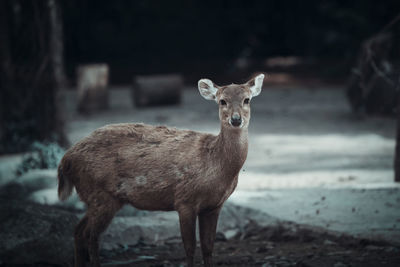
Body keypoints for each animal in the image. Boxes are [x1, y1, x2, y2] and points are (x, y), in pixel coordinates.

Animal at [57, 74, 264, 267]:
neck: (215, 165)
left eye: (247, 99)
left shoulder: (214, 206)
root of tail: (66, 159)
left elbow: (208, 247)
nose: (236, 119)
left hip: (101, 198)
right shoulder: (184, 200)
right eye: (222, 101)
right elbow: (189, 247)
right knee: (90, 235)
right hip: (99, 193)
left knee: (78, 231)